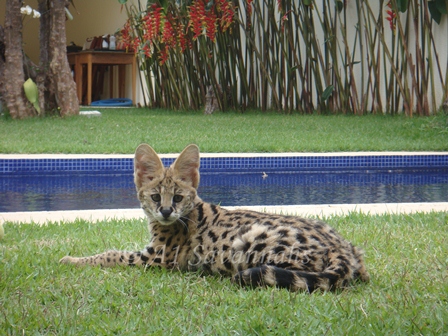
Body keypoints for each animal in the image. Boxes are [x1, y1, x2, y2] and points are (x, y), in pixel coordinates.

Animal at [59, 144, 370, 292]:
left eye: (178, 197)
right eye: (156, 197)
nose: (166, 211)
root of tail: (341, 248)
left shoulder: (157, 259)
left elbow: (110, 254)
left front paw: (72, 260)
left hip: (249, 242)